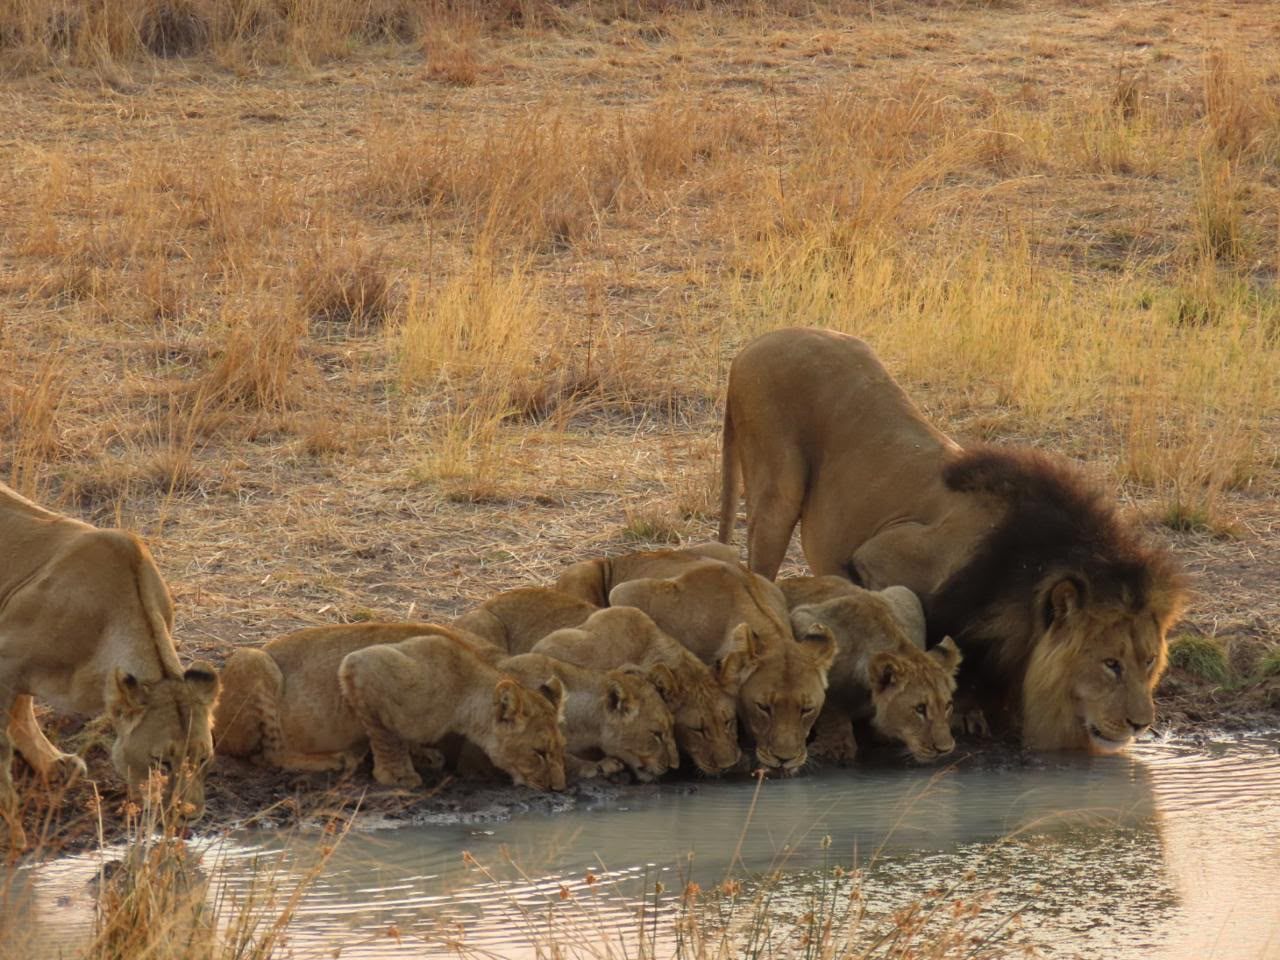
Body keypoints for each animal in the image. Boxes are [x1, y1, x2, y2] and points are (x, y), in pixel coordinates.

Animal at [1, 481, 219, 848]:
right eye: (161, 762)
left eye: (202, 758)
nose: (188, 816)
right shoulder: (5, 662)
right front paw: (11, 835)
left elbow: (22, 709)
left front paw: (53, 763)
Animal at [214, 622, 567, 791]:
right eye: (539, 752)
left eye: (559, 748)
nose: (558, 788)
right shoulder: (361, 666)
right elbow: (386, 734)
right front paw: (397, 775)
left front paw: (422, 755)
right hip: (254, 661)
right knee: (267, 755)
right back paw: (335, 759)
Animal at [789, 587, 960, 764]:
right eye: (920, 708)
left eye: (948, 705)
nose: (945, 749)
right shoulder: (803, 618)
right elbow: (831, 709)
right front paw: (836, 748)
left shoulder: (907, 596)